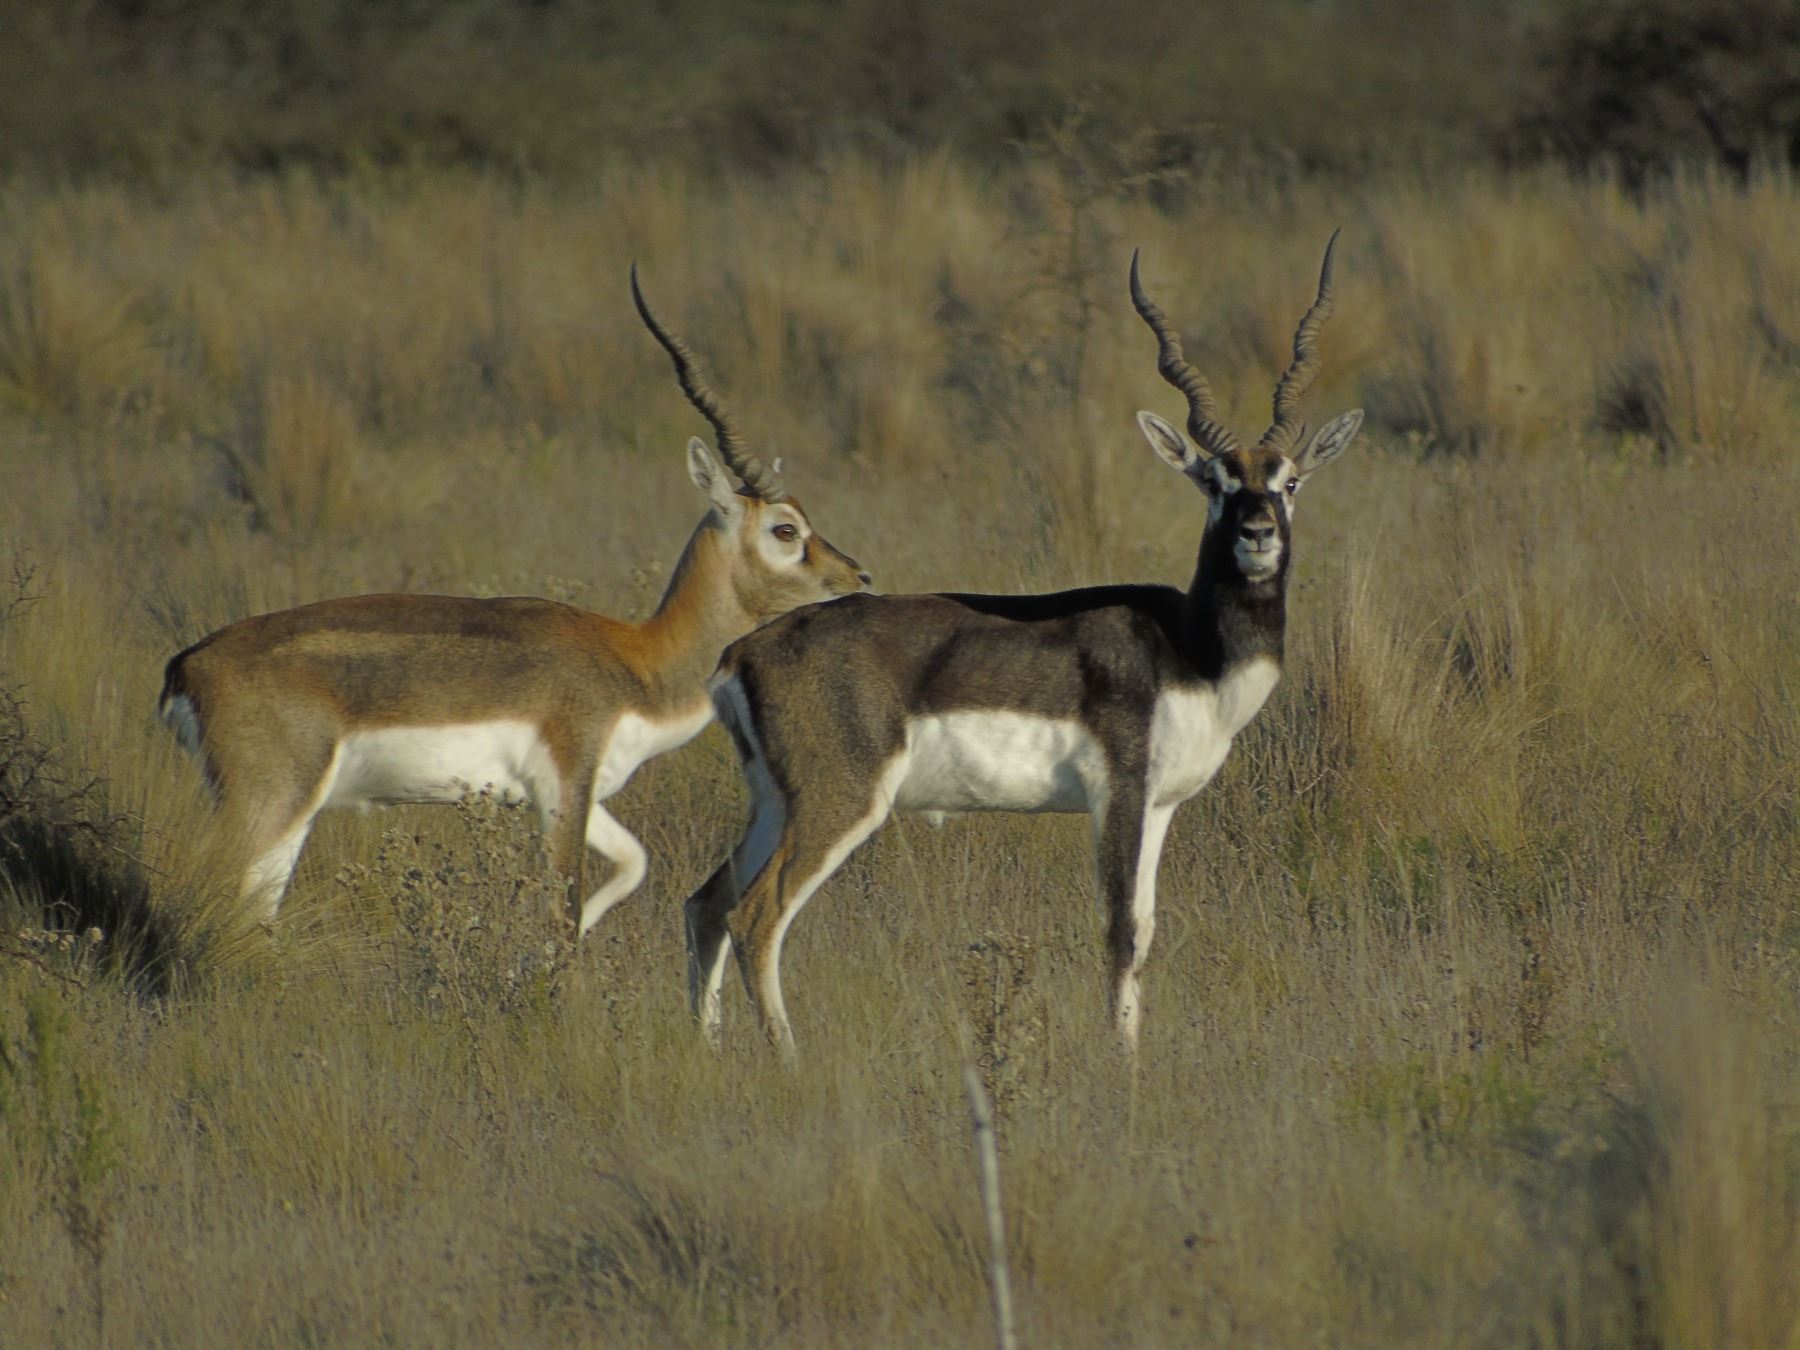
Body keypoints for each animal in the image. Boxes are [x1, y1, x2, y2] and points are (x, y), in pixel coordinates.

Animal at [159, 266, 870, 931]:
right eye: (786, 529)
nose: (858, 577)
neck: (635, 661)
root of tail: (185, 667)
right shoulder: (563, 788)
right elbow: (562, 909)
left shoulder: (579, 797)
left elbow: (631, 865)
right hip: (270, 804)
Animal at [684, 235, 1362, 1063]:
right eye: (1214, 481)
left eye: (1289, 481)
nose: (1257, 534)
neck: (1190, 649)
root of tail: (742, 654)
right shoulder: (1118, 794)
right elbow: (1120, 931)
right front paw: (1123, 1068)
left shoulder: (1162, 806)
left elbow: (1147, 928)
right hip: (838, 801)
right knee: (756, 918)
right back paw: (790, 1062)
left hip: (775, 802)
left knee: (705, 904)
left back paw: (709, 1050)